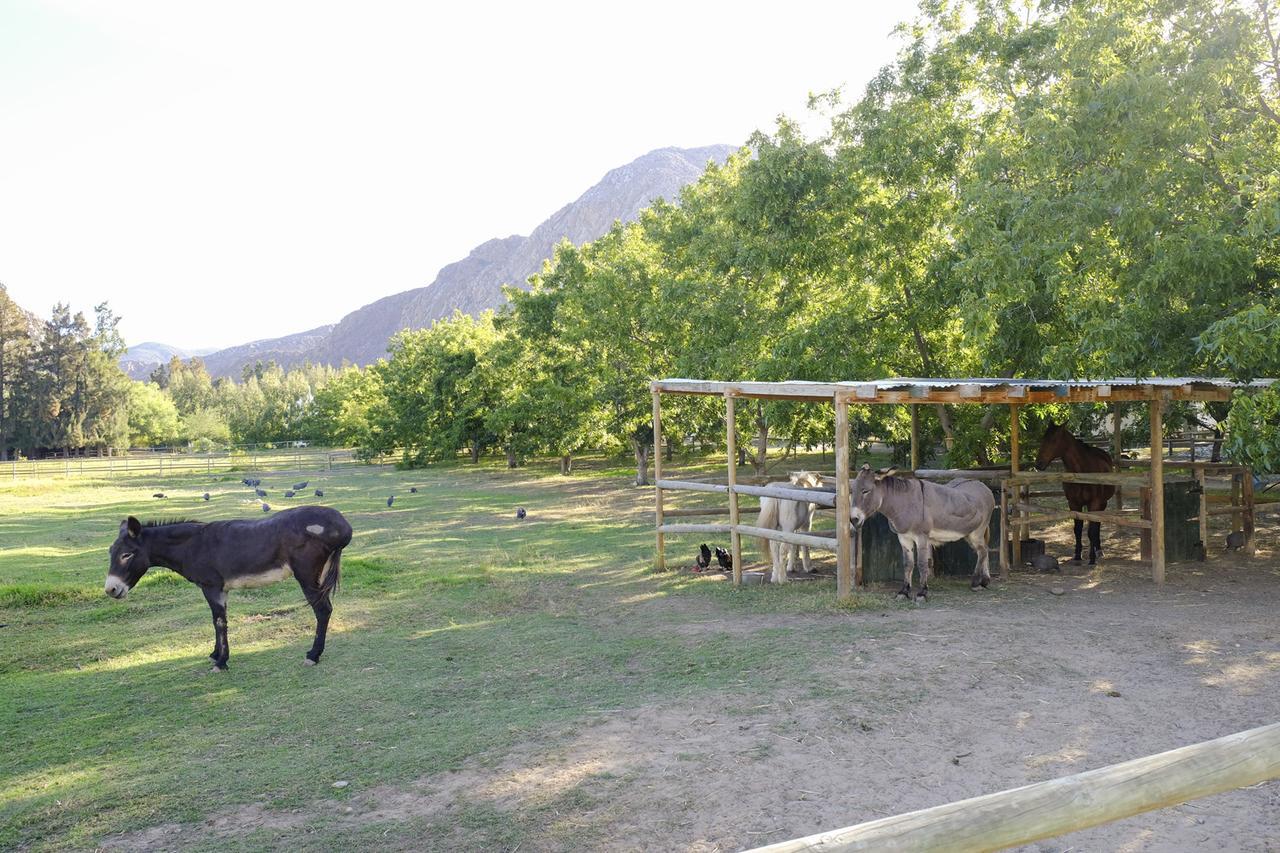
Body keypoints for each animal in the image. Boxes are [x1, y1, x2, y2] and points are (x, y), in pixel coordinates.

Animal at [1034, 420, 1116, 563]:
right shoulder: (1074, 503)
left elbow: (1091, 531)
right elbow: (1077, 529)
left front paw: (1091, 558)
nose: (1038, 464)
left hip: (1102, 503)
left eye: (1054, 440)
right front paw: (1077, 555)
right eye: (1043, 438)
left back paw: (1099, 551)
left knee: (1097, 524)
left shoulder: (1094, 503)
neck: (1082, 473)